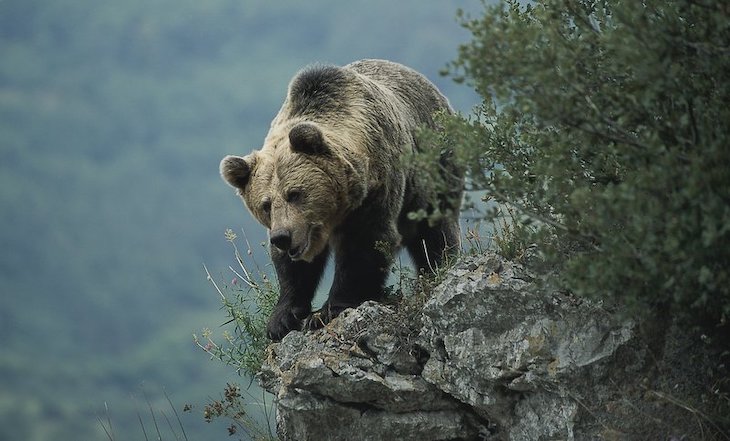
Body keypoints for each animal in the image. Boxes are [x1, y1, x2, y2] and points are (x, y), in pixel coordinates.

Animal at [220, 59, 463, 341]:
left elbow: (364, 247)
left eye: (295, 193)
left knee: (435, 231)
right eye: (266, 204)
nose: (282, 237)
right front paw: (281, 319)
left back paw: (438, 268)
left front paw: (327, 311)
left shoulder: (376, 190)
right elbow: (293, 270)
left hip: (434, 169)